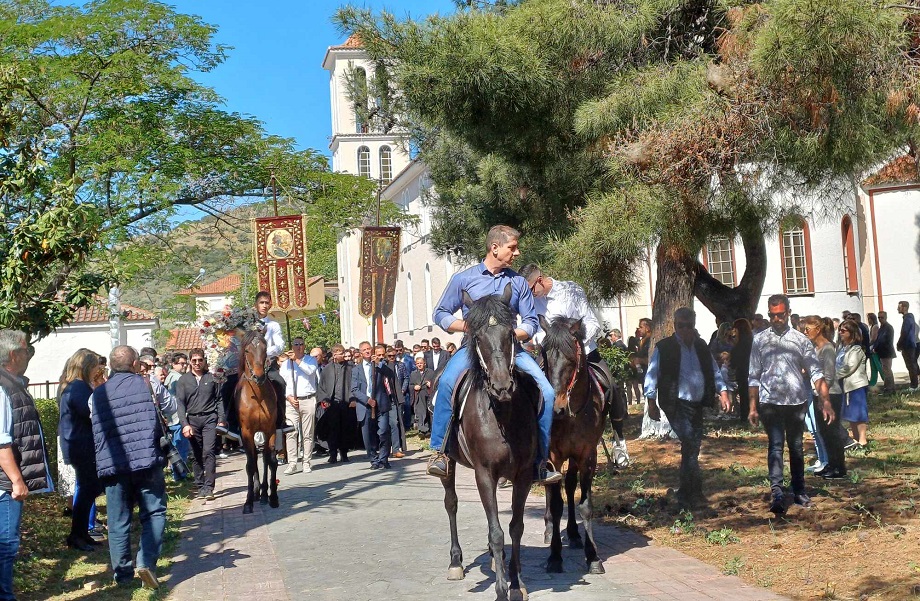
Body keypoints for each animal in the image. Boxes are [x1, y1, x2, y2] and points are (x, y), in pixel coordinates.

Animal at [440, 284, 540, 600]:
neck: (502, 414)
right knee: (451, 503)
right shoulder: (484, 473)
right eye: (477, 337)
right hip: (449, 465)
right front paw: (500, 589)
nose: (501, 386)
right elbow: (497, 532)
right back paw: (455, 562)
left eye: (510, 334)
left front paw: (516, 583)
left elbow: (515, 526)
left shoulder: (523, 475)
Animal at [536, 314, 608, 572]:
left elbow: (585, 504)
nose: (556, 407)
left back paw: (575, 535)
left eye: (571, 358)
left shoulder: (587, 455)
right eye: (545, 356)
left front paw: (593, 557)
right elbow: (556, 504)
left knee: (568, 484)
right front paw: (555, 556)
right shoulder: (552, 456)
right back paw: (549, 530)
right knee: (551, 490)